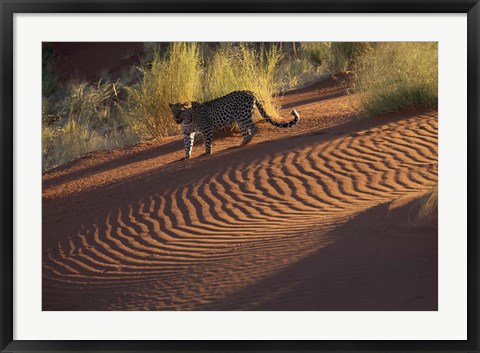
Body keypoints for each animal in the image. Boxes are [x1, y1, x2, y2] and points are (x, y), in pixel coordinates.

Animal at [167, 90, 298, 159]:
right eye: (173, 111)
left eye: (181, 111)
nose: (176, 118)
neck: (187, 120)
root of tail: (250, 91)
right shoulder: (187, 133)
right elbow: (187, 145)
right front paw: (186, 156)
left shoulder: (206, 129)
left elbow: (207, 143)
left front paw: (207, 153)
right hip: (240, 119)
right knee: (247, 131)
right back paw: (242, 143)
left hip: (242, 117)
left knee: (254, 128)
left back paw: (247, 142)